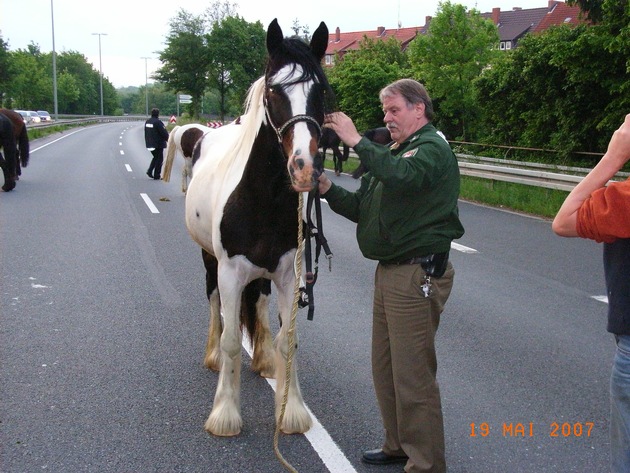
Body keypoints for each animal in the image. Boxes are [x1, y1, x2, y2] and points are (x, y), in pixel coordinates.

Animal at [184, 20, 336, 436]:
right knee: (215, 306)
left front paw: (291, 409)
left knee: (260, 304)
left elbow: (289, 339)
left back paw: (264, 359)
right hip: (209, 261)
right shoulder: (230, 271)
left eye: (320, 90)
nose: (303, 167)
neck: (261, 198)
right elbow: (232, 339)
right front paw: (225, 413)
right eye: (273, 90)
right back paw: (212, 356)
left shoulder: (287, 274)